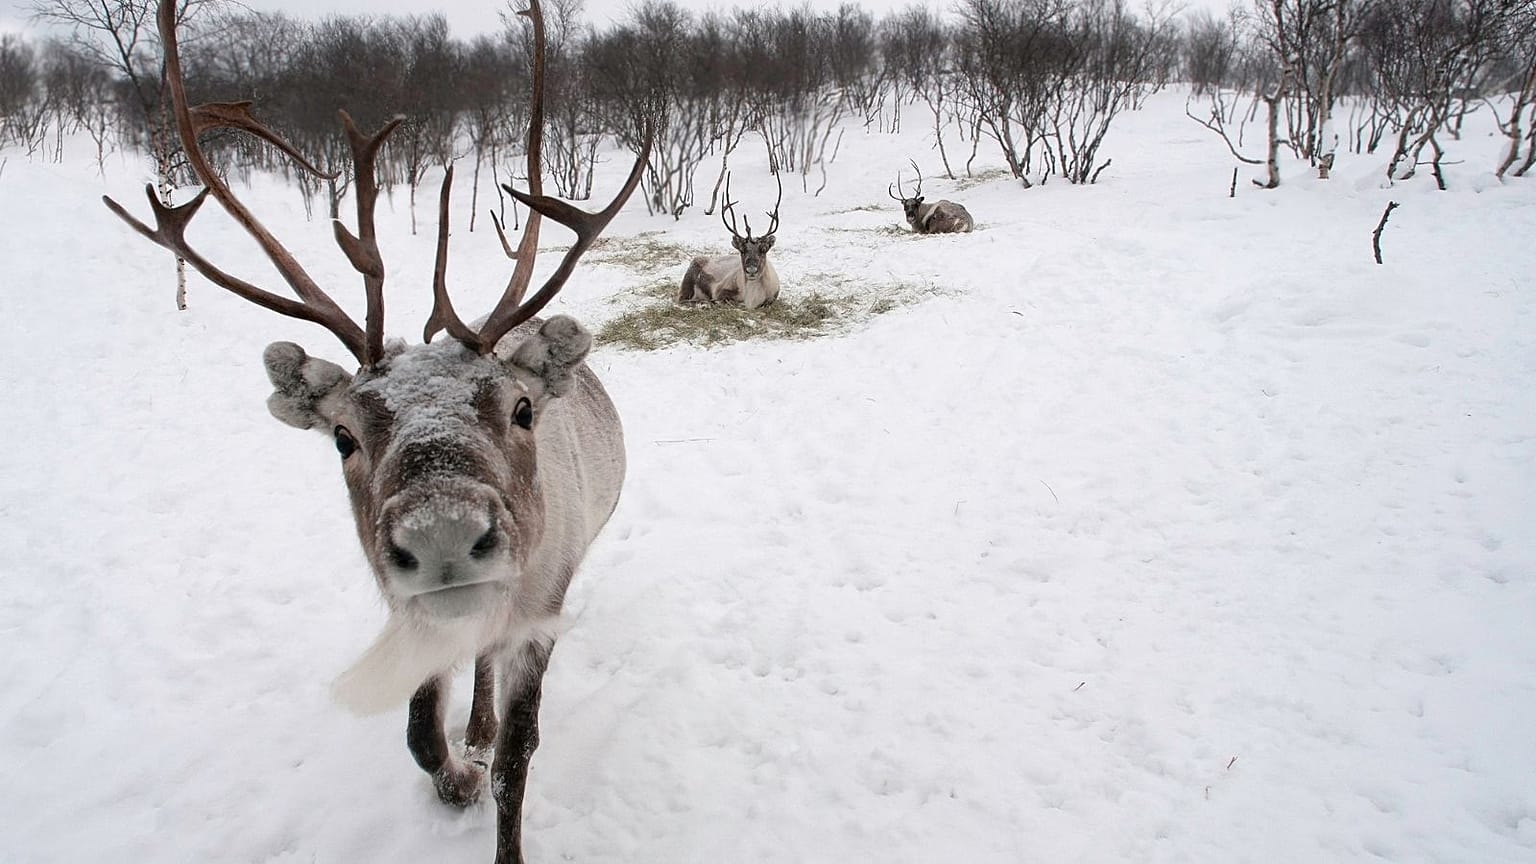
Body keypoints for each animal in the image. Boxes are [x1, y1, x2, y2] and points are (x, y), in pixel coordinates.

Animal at [100, 2, 650, 862]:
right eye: (343, 437)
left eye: (521, 409)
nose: (444, 535)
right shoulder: (408, 606)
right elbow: (421, 732)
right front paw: (455, 773)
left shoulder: (541, 606)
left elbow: (518, 758)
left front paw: (488, 778)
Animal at [677, 171, 782, 309]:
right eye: (742, 250)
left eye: (763, 250)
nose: (751, 270)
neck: (752, 299)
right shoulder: (720, 291)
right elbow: (728, 301)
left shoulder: (772, 297)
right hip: (689, 280)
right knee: (683, 299)